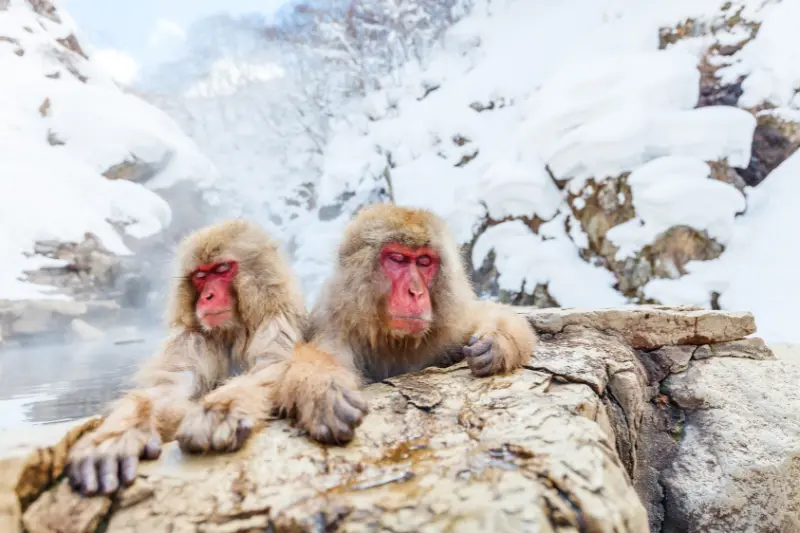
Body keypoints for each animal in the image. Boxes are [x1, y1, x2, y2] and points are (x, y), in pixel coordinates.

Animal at [66, 219, 306, 497]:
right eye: (200, 276)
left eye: (222, 269)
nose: (207, 297)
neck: (233, 331)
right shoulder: (191, 338)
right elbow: (168, 389)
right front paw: (116, 435)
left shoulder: (277, 322)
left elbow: (271, 368)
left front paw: (220, 410)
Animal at [276, 204, 537, 445]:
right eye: (398, 259)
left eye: (424, 261)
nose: (416, 292)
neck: (394, 339)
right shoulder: (335, 330)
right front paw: (324, 391)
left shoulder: (449, 327)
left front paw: (497, 342)